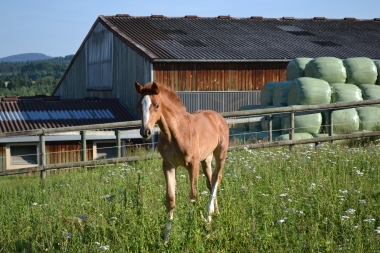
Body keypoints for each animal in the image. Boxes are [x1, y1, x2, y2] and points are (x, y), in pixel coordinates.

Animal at [134, 81, 229, 241]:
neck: (175, 133)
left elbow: (194, 196)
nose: (145, 132)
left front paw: (202, 225)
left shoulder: (193, 164)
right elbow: (170, 199)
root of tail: (218, 117)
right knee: (211, 182)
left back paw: (209, 215)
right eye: (139, 105)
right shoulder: (168, 165)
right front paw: (166, 238)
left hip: (220, 154)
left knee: (217, 178)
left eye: (157, 105)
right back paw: (216, 213)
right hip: (206, 159)